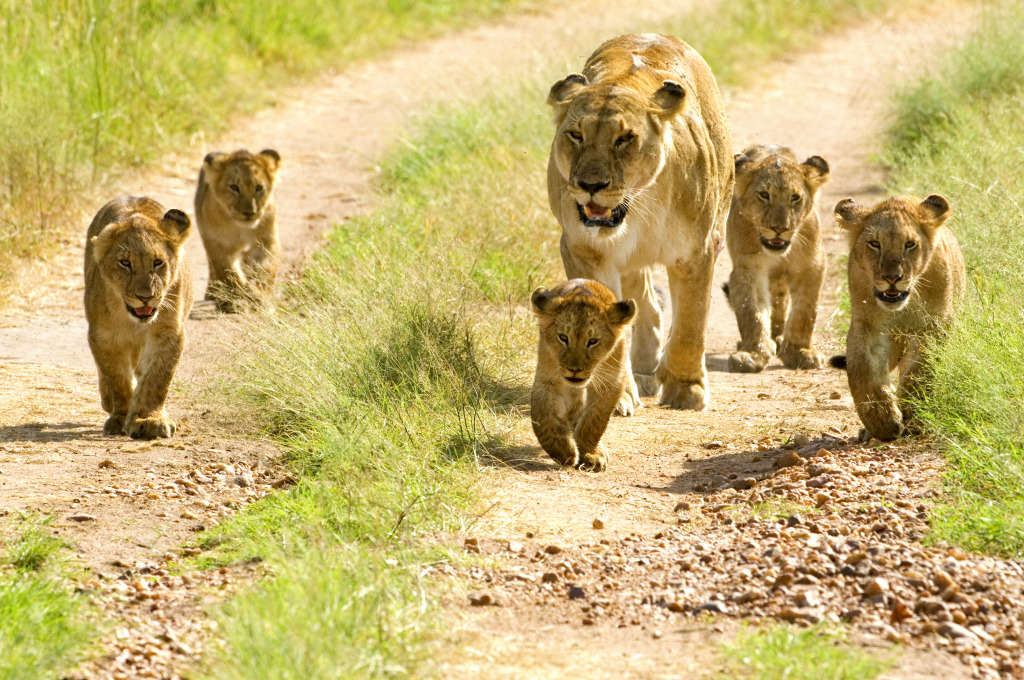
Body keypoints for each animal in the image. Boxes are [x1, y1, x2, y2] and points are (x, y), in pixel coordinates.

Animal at [83, 195, 193, 440]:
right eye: (125, 263)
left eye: (157, 262)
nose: (146, 297)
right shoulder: (103, 336)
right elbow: (117, 378)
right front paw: (120, 417)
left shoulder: (168, 333)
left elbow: (158, 378)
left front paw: (149, 419)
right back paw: (108, 402)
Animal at [548, 34, 733, 413]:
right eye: (575, 135)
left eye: (624, 139)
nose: (590, 184)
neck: (638, 206)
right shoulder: (583, 249)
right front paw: (615, 395)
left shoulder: (697, 251)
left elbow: (692, 323)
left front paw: (686, 389)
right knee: (647, 303)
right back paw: (645, 371)